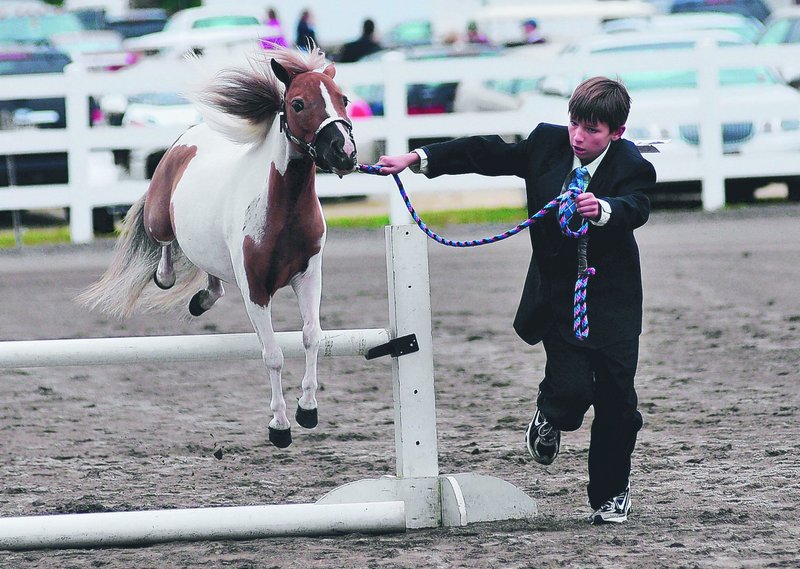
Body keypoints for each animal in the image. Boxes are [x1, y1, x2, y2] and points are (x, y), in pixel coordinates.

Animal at [80, 47, 356, 448]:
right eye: (298, 104)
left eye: (343, 99)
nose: (345, 152)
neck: (279, 207)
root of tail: (189, 137)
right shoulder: (256, 290)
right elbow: (273, 355)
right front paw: (279, 426)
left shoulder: (308, 277)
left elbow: (311, 337)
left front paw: (307, 410)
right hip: (159, 220)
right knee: (166, 249)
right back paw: (167, 278)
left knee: (211, 275)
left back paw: (203, 298)